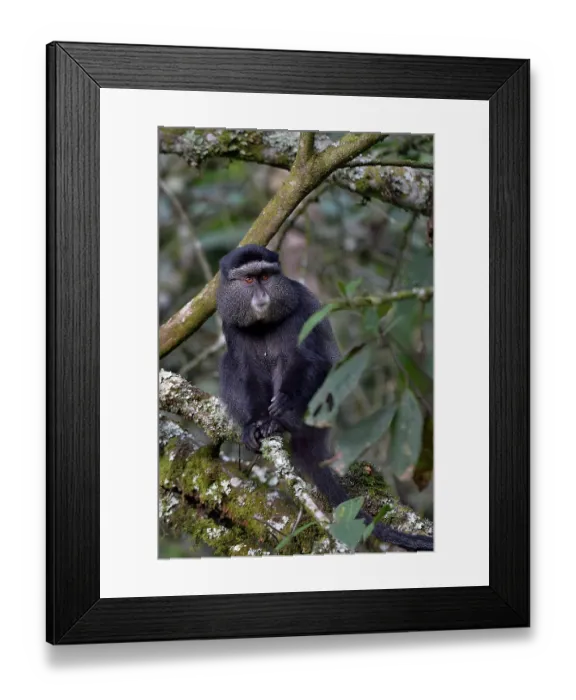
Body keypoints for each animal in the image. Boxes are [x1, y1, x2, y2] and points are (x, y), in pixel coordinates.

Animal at [216, 244, 433, 552]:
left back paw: (281, 423)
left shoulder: (301, 310)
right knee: (228, 363)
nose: (261, 295)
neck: (262, 324)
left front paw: (282, 403)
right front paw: (253, 425)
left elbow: (306, 358)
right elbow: (244, 368)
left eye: (266, 277)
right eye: (249, 280)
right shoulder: (230, 324)